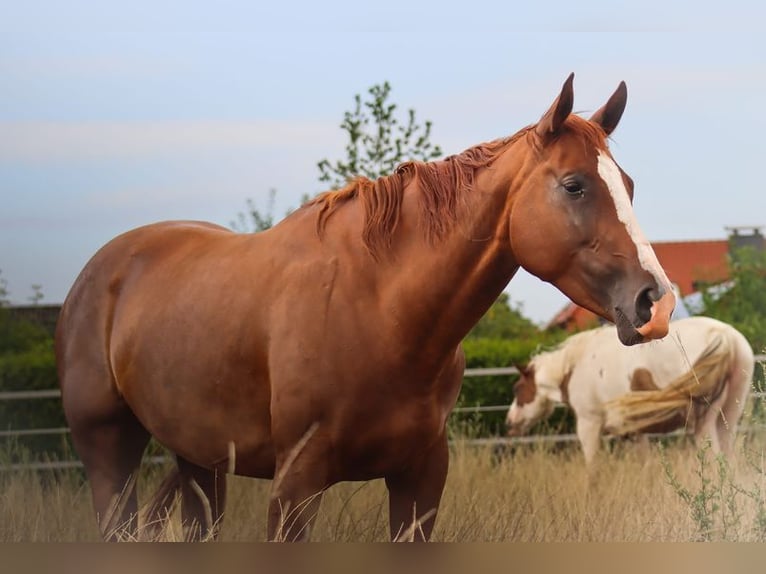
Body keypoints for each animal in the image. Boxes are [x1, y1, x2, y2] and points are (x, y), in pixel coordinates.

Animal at [57, 74, 676, 544]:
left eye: (628, 185)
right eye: (574, 185)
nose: (657, 303)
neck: (381, 311)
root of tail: (97, 274)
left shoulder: (420, 482)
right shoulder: (294, 489)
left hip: (198, 464)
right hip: (109, 454)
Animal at [510, 318, 756, 466]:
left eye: (518, 388)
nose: (510, 422)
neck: (573, 365)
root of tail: (723, 335)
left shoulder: (589, 424)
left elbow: (592, 468)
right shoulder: (636, 432)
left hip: (704, 423)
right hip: (727, 419)